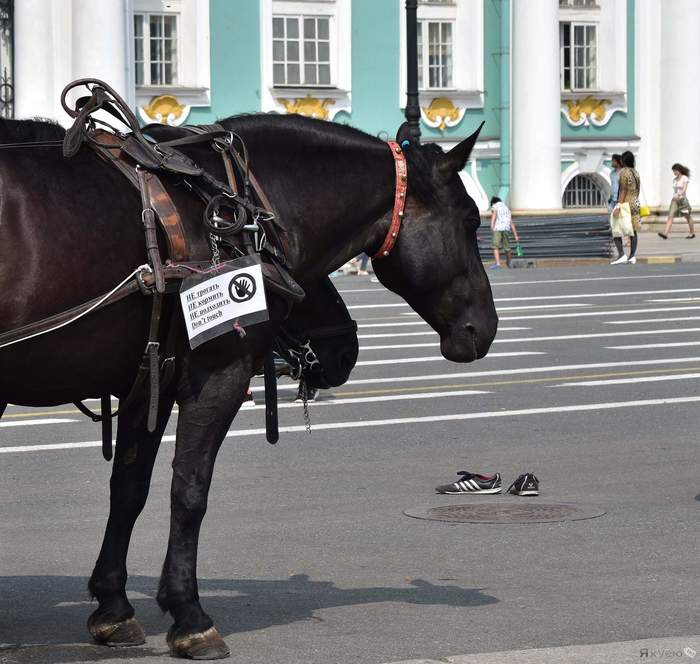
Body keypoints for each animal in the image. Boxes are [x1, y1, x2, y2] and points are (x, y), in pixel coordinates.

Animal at [0, 111, 498, 656]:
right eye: (471, 221)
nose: (485, 328)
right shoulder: (218, 375)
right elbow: (189, 490)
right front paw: (189, 614)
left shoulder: (150, 381)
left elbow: (129, 489)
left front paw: (113, 606)